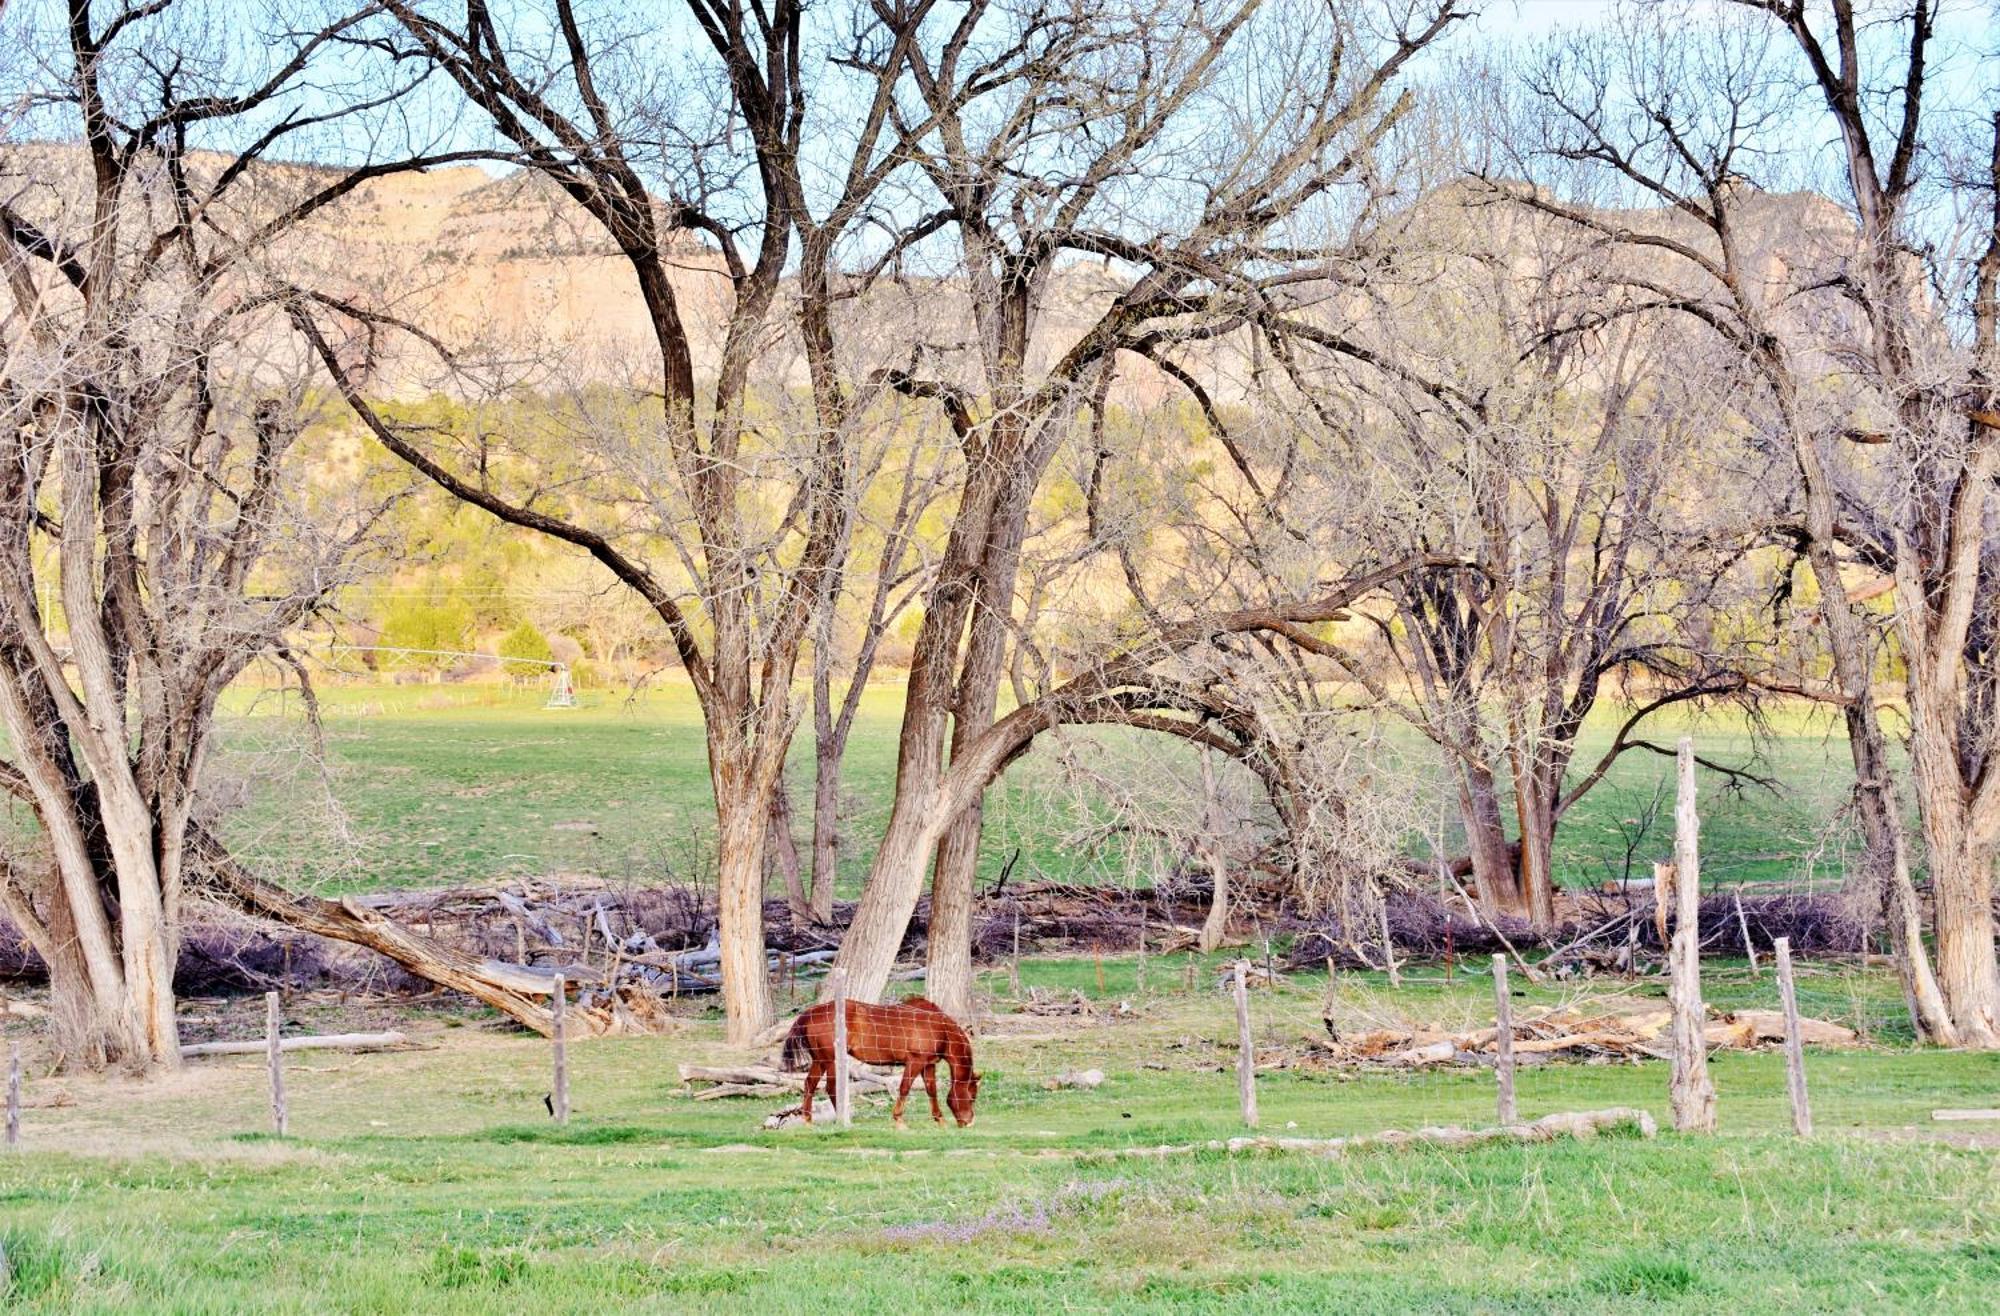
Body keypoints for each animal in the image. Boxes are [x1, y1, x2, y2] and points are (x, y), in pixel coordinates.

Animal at [776, 996, 980, 1128]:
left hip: (820, 1060)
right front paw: (899, 1120)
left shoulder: (928, 1064)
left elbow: (932, 1091)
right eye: (972, 1096)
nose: (968, 1122)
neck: (939, 1028)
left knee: (810, 1084)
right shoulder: (915, 1062)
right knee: (831, 1087)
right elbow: (904, 1088)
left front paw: (940, 1120)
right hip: (830, 1060)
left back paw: (808, 1120)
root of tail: (810, 1013)